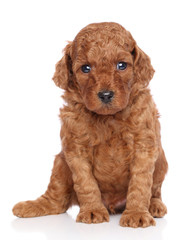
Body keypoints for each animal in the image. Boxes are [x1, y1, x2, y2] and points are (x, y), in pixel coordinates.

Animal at [11, 22, 168, 227]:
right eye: (85, 68)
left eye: (121, 65)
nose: (106, 95)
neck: (107, 118)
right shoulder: (75, 149)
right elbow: (86, 182)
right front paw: (93, 211)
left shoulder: (144, 146)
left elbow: (141, 183)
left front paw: (136, 214)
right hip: (60, 163)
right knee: (57, 199)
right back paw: (31, 206)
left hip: (162, 161)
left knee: (155, 190)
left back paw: (155, 206)